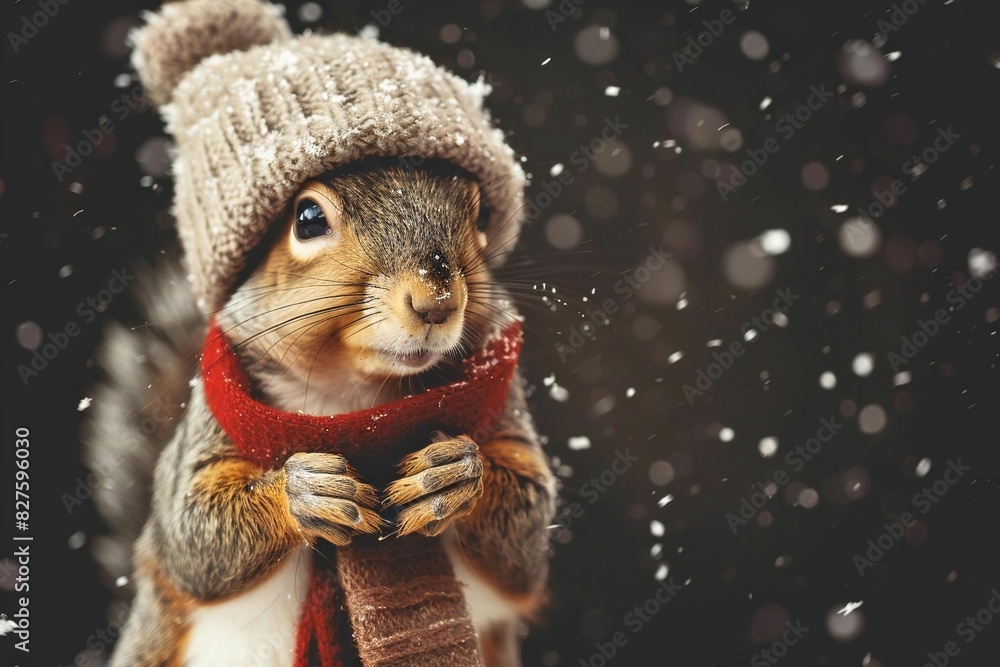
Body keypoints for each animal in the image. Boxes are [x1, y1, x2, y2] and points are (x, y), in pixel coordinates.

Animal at [82, 1, 556, 666]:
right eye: (307, 219)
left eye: (478, 212)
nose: (436, 301)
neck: (351, 399)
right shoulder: (204, 432)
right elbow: (194, 534)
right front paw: (303, 492)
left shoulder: (506, 416)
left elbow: (527, 543)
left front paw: (452, 474)